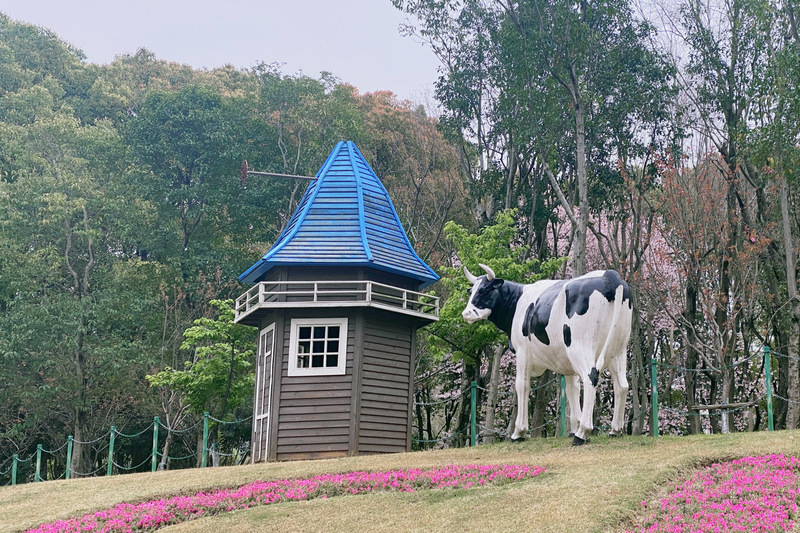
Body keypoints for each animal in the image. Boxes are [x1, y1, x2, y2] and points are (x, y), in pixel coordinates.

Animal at [462, 264, 632, 444]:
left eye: (484, 290)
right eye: (471, 290)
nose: (466, 313)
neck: (517, 301)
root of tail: (609, 275)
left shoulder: (523, 352)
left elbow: (522, 385)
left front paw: (519, 432)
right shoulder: (567, 364)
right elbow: (572, 389)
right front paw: (574, 427)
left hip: (580, 347)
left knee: (590, 377)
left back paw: (582, 433)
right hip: (618, 349)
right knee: (621, 384)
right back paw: (615, 430)